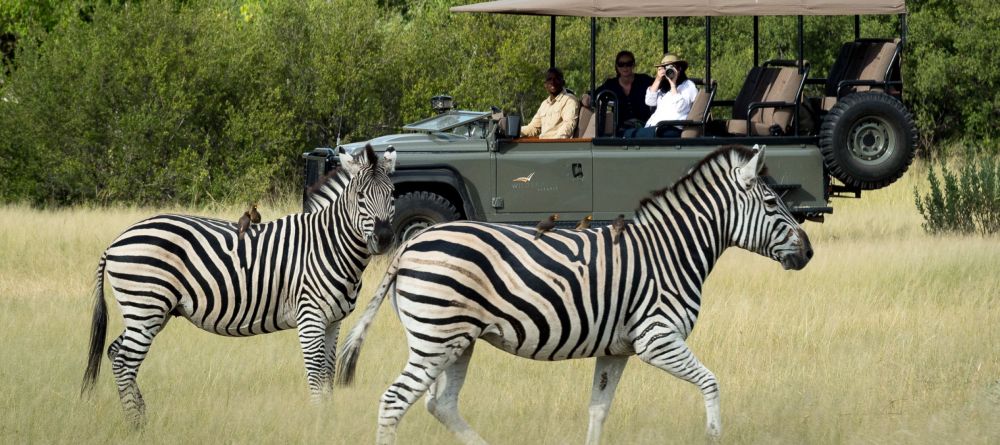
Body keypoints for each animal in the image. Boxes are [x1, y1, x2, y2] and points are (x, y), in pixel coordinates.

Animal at [81, 144, 398, 424]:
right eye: (360, 196)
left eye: (392, 195)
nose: (383, 238)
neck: (328, 246)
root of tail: (116, 241)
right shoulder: (310, 318)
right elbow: (315, 375)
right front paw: (319, 421)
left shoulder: (333, 320)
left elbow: (328, 376)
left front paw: (328, 419)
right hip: (145, 305)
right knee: (125, 362)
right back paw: (136, 425)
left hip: (151, 311)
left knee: (116, 353)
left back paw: (142, 417)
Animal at [336, 144, 812, 442]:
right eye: (773, 203)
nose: (808, 251)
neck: (670, 251)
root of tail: (412, 242)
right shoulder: (657, 339)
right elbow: (711, 382)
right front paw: (714, 435)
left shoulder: (616, 348)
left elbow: (598, 410)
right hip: (437, 337)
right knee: (395, 401)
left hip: (456, 340)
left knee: (442, 405)